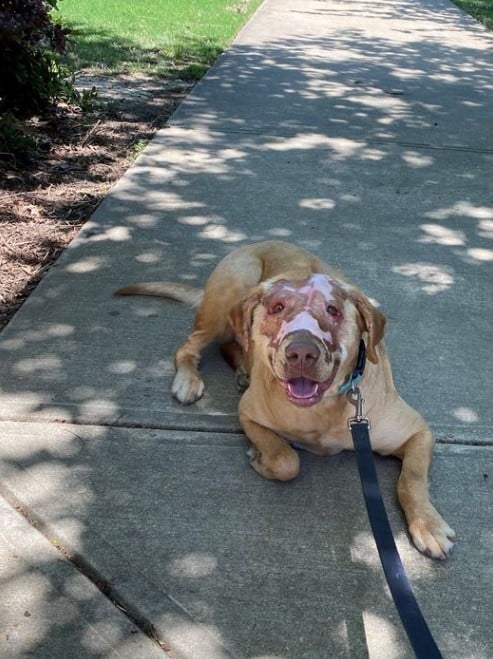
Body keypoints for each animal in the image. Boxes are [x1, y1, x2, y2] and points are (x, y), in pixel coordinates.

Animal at [117, 240, 456, 560]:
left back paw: (242, 370)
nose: (301, 352)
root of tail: (255, 243)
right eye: (277, 307)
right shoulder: (248, 415)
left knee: (230, 344)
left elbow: (411, 479)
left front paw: (427, 524)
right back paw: (189, 379)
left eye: (333, 310)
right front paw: (261, 458)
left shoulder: (418, 432)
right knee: (189, 346)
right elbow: (286, 460)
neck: (321, 410)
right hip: (231, 291)